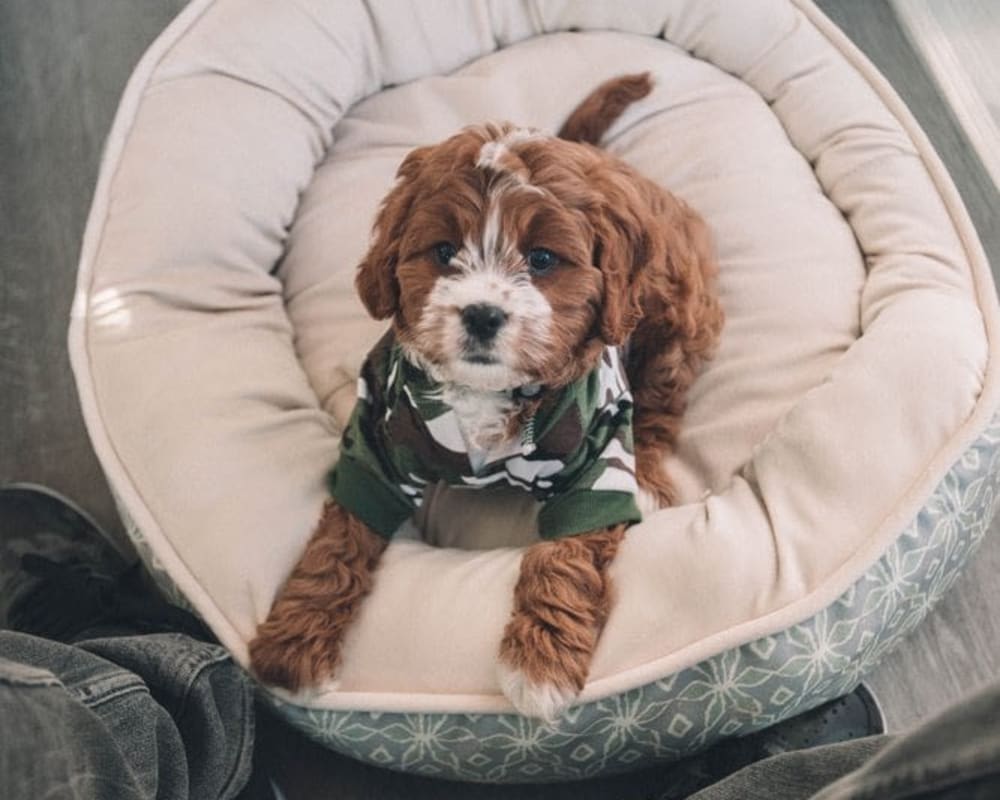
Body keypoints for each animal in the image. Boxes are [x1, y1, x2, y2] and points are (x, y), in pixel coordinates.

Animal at [249, 73, 720, 720]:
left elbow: (566, 555)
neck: (485, 393)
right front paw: (296, 641)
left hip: (675, 317)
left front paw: (541, 663)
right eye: (444, 251)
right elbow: (341, 537)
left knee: (660, 404)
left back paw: (647, 475)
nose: (481, 313)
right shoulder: (377, 442)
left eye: (543, 259)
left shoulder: (595, 463)